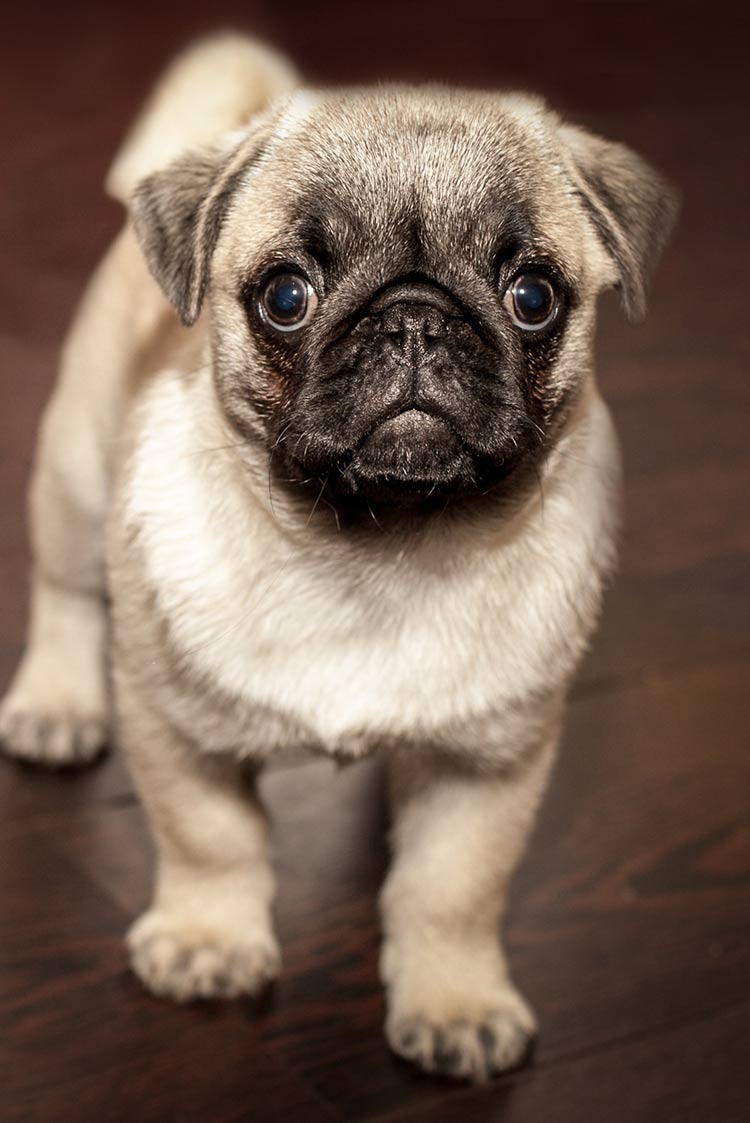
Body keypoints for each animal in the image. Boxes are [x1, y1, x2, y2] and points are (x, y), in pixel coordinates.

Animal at [0, 35, 678, 1082]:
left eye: (534, 297)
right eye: (286, 296)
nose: (414, 320)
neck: (374, 549)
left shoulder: (489, 765)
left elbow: (452, 888)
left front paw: (454, 1002)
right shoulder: (176, 730)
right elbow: (211, 838)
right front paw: (208, 941)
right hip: (75, 475)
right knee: (67, 591)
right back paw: (57, 705)